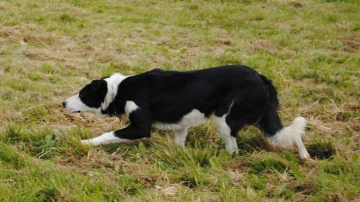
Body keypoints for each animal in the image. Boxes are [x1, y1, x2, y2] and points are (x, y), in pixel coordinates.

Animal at [62, 65, 310, 159]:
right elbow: (179, 144)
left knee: (233, 149)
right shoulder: (181, 126)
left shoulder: (140, 127)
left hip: (224, 118)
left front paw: (85, 143)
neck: (121, 90)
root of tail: (262, 78)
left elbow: (108, 135)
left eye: (82, 94)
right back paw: (305, 156)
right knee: (292, 133)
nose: (63, 103)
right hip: (261, 117)